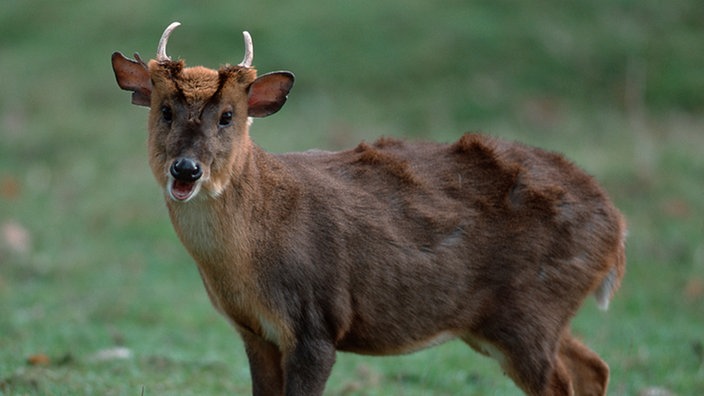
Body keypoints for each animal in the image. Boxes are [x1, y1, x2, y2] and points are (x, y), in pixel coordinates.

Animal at [111, 23, 628, 394]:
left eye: (227, 116)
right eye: (164, 110)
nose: (186, 169)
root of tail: (617, 228)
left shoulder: (316, 324)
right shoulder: (254, 331)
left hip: (531, 310)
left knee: (564, 381)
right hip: (526, 317)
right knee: (594, 367)